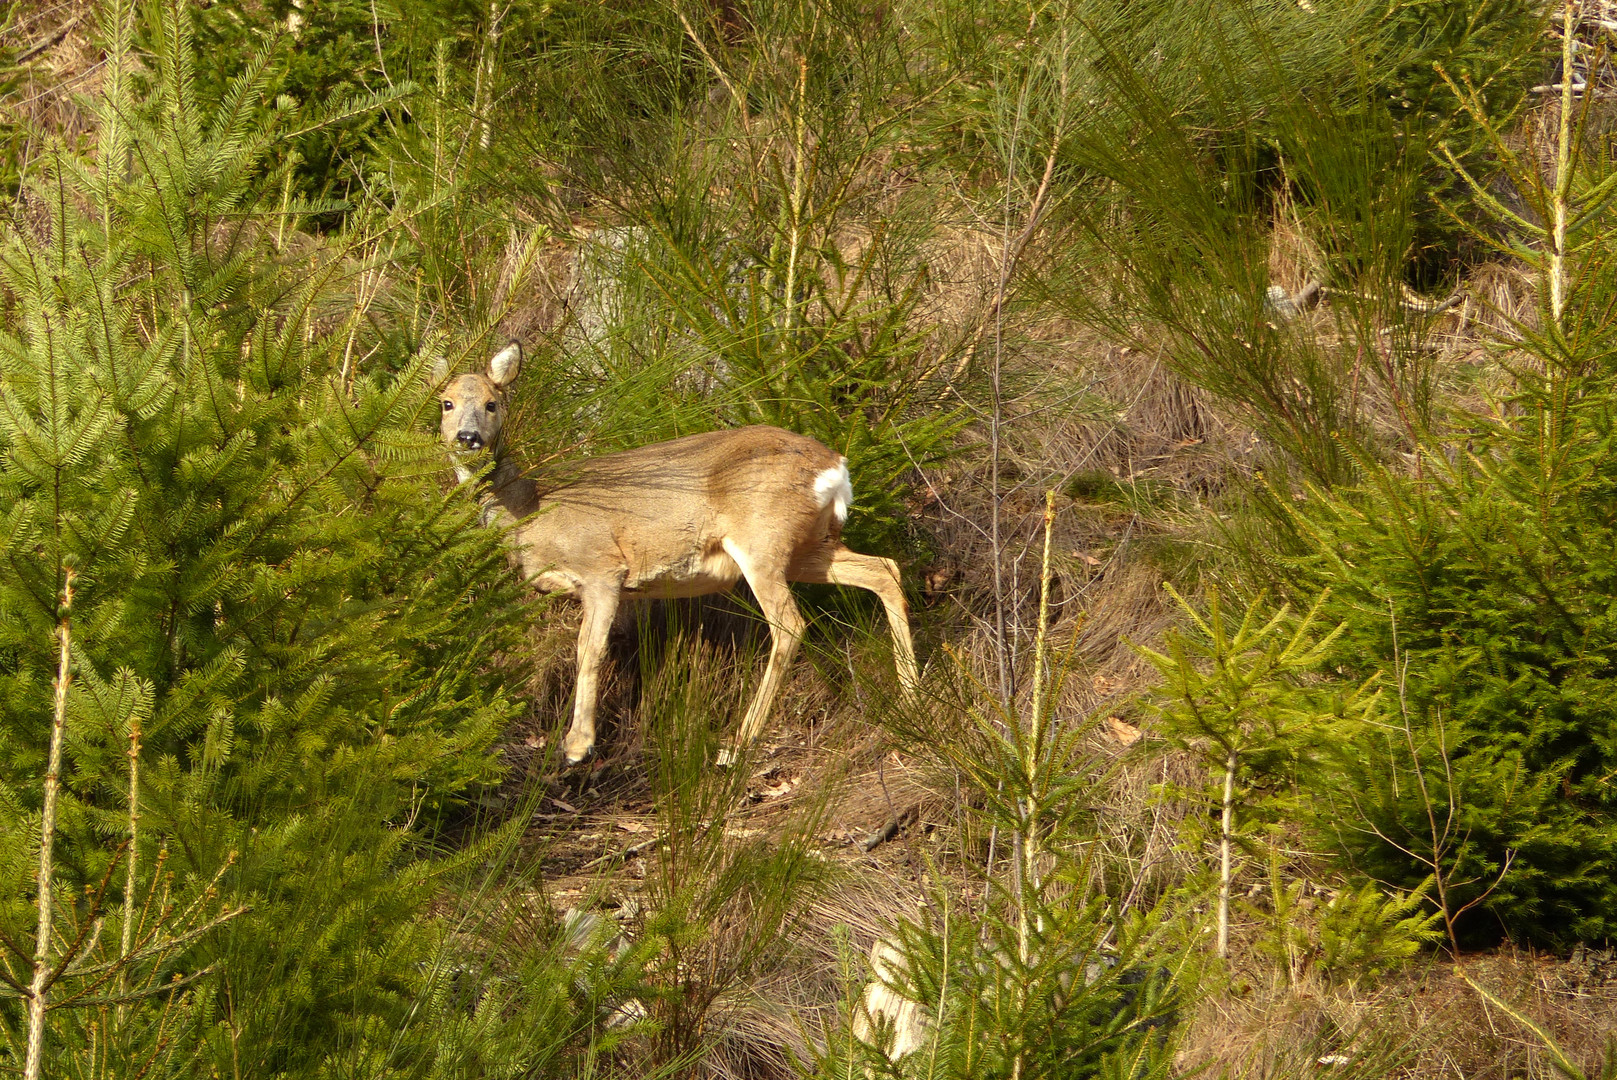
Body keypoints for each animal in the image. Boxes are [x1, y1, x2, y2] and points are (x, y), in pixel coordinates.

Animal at [436, 341, 924, 763]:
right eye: (445, 403)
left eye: (493, 403)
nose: (468, 437)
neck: (529, 509)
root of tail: (836, 467)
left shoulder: (602, 567)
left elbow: (588, 651)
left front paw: (577, 745)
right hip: (808, 546)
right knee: (884, 570)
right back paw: (912, 698)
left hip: (761, 539)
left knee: (789, 624)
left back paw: (737, 744)